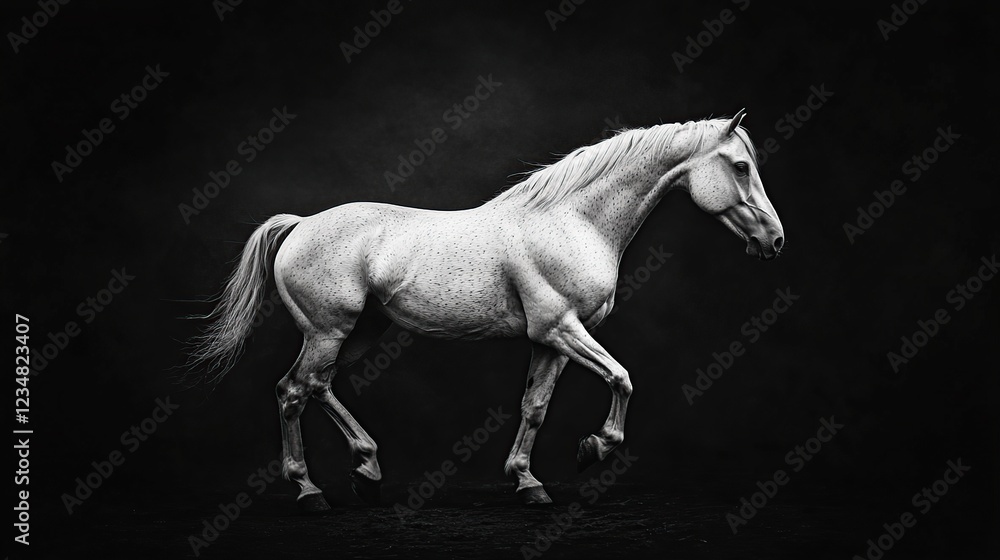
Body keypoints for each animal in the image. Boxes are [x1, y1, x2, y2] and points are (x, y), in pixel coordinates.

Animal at [187, 109, 784, 511]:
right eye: (739, 166)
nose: (774, 240)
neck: (572, 220)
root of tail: (300, 225)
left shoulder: (550, 340)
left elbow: (535, 407)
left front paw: (528, 482)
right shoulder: (562, 328)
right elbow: (622, 378)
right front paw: (593, 448)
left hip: (356, 332)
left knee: (313, 386)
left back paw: (367, 469)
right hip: (328, 331)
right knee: (295, 391)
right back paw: (310, 490)